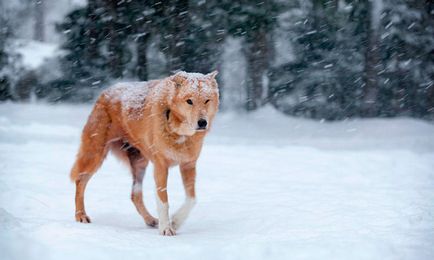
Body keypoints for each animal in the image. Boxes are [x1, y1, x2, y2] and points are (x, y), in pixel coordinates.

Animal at [72, 71, 220, 236]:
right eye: (189, 101)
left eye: (207, 100)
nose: (202, 122)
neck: (179, 132)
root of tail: (106, 91)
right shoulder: (161, 166)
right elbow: (163, 201)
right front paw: (166, 228)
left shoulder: (188, 165)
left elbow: (192, 199)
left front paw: (175, 221)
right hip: (95, 155)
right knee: (80, 181)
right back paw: (81, 215)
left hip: (140, 164)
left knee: (135, 195)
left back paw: (150, 220)